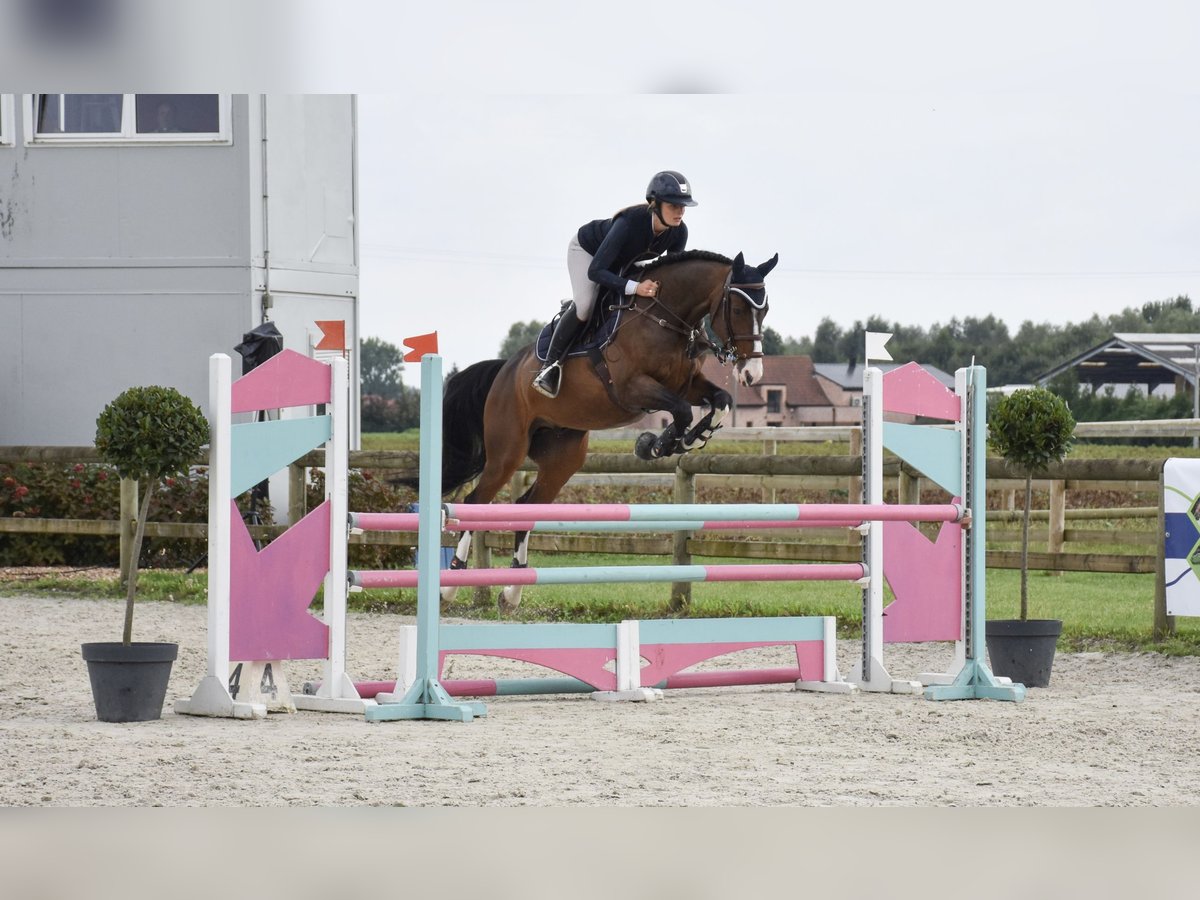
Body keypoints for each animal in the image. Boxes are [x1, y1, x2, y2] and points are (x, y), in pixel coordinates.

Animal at [441, 250, 777, 609]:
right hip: (508, 452)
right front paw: (655, 445)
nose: (752, 374)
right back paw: (452, 580)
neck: (664, 317)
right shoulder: (633, 388)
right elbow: (682, 411)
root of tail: (505, 369)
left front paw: (690, 438)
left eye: (765, 310)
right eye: (738, 309)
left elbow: (721, 401)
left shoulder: (687, 385)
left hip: (563, 457)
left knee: (524, 506)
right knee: (476, 500)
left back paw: (512, 590)